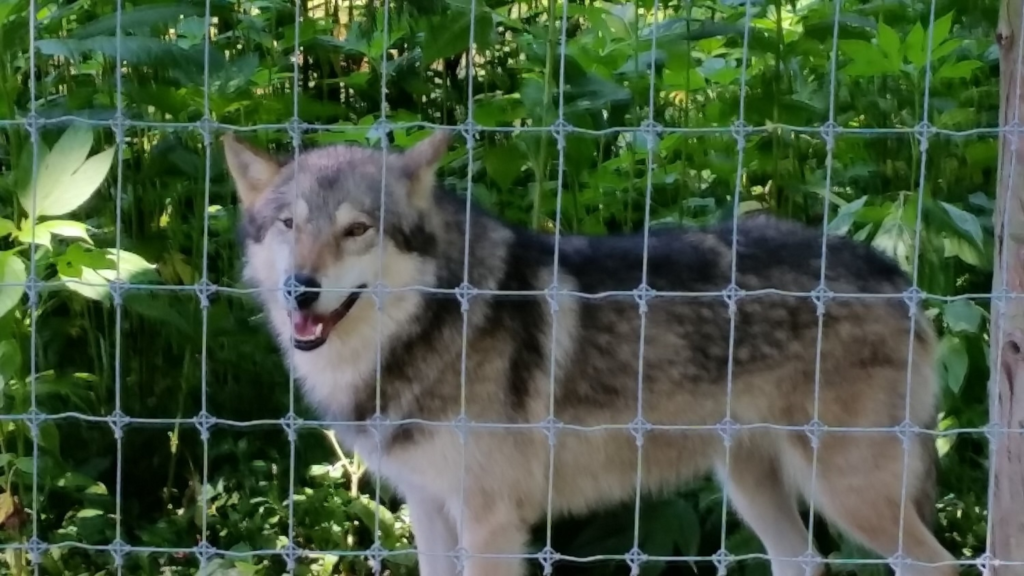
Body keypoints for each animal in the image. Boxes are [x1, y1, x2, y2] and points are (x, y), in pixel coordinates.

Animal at [223, 130, 958, 576]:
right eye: (288, 225)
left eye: (356, 230)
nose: (301, 289)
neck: (428, 328)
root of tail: (897, 274)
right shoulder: (429, 511)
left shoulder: (490, 522)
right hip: (754, 486)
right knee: (805, 560)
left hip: (848, 493)